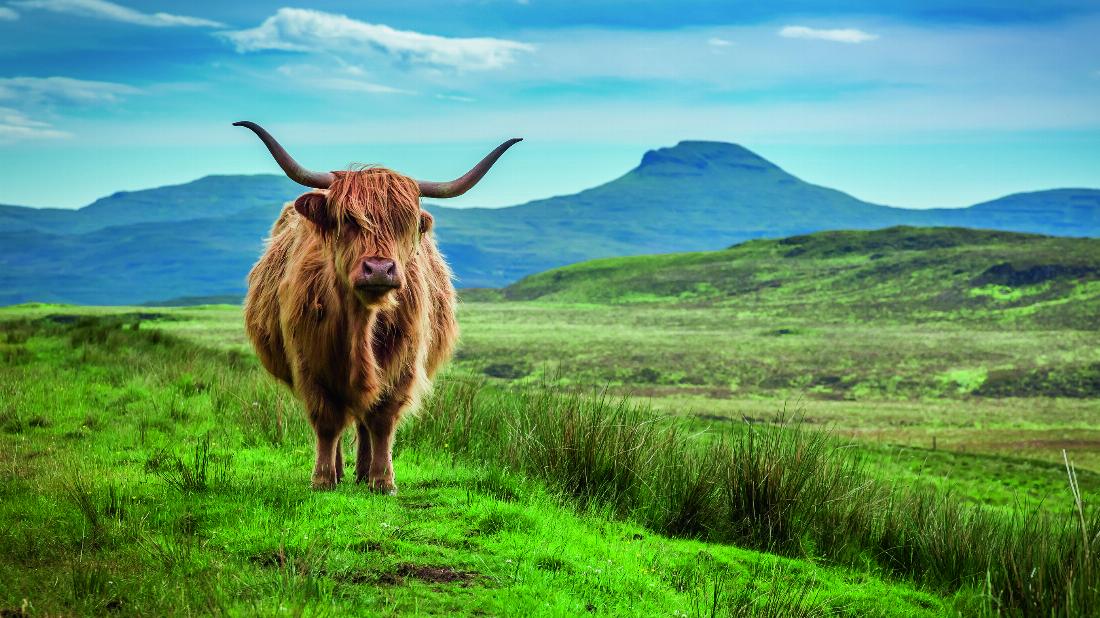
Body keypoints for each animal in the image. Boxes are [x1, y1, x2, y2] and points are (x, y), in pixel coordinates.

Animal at [236, 121, 519, 490]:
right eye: (348, 220)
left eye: (405, 222)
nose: (380, 269)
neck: (361, 324)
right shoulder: (309, 362)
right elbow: (326, 421)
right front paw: (323, 479)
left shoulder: (403, 364)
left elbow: (382, 420)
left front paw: (383, 481)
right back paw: (342, 471)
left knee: (364, 420)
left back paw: (362, 471)